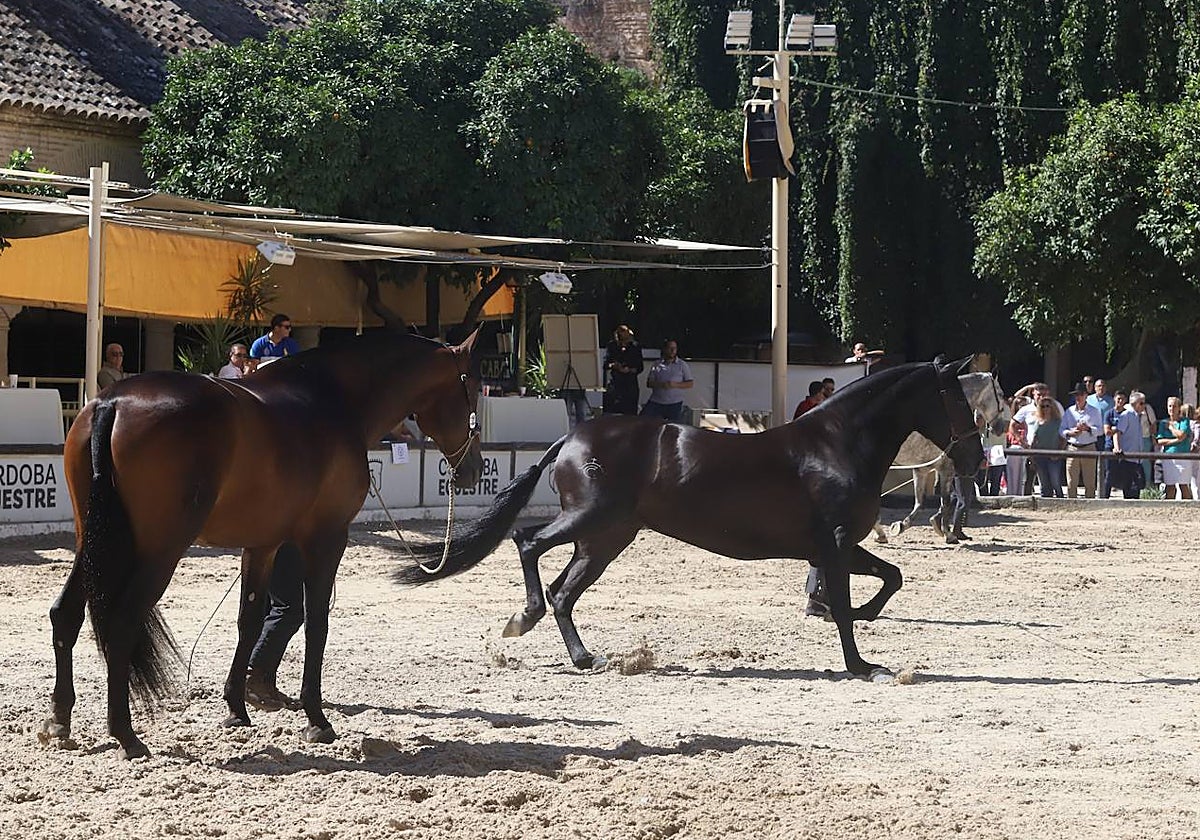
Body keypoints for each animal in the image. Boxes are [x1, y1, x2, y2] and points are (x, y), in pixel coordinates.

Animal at [39, 329, 483, 759]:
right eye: (474, 389)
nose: (474, 471)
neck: (334, 401)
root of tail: (112, 402)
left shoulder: (263, 544)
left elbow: (249, 621)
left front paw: (237, 710)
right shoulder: (327, 538)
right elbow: (317, 623)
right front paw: (317, 720)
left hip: (92, 542)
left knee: (66, 614)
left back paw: (59, 721)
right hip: (158, 550)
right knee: (122, 623)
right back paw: (126, 736)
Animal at [397, 357, 985, 678]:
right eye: (958, 401)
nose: (976, 460)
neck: (835, 445)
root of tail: (571, 438)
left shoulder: (830, 548)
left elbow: (891, 577)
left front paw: (864, 618)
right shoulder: (836, 544)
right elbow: (844, 603)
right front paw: (861, 665)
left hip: (606, 538)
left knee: (565, 591)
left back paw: (584, 657)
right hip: (592, 520)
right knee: (527, 543)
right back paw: (525, 616)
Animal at [874, 371, 1009, 543]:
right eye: (1001, 394)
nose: (1001, 428)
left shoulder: (922, 469)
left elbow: (920, 503)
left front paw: (901, 526)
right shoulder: (947, 468)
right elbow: (945, 502)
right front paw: (948, 534)